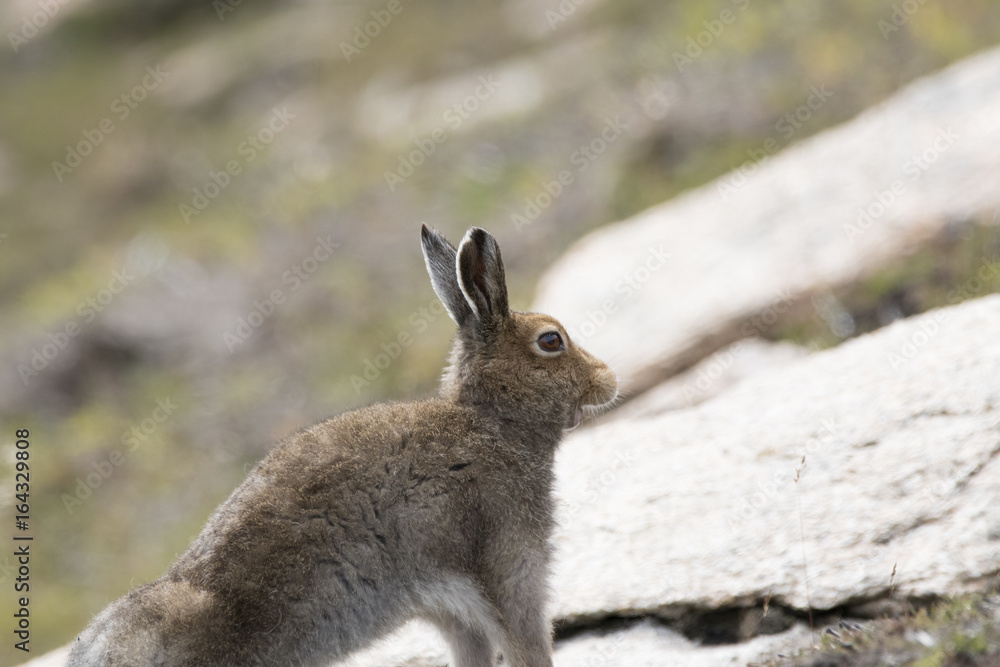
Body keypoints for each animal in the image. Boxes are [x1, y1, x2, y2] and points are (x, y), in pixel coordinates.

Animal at [68, 225, 619, 667]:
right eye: (551, 341)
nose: (608, 378)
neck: (492, 419)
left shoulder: (454, 610)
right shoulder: (512, 569)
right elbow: (529, 648)